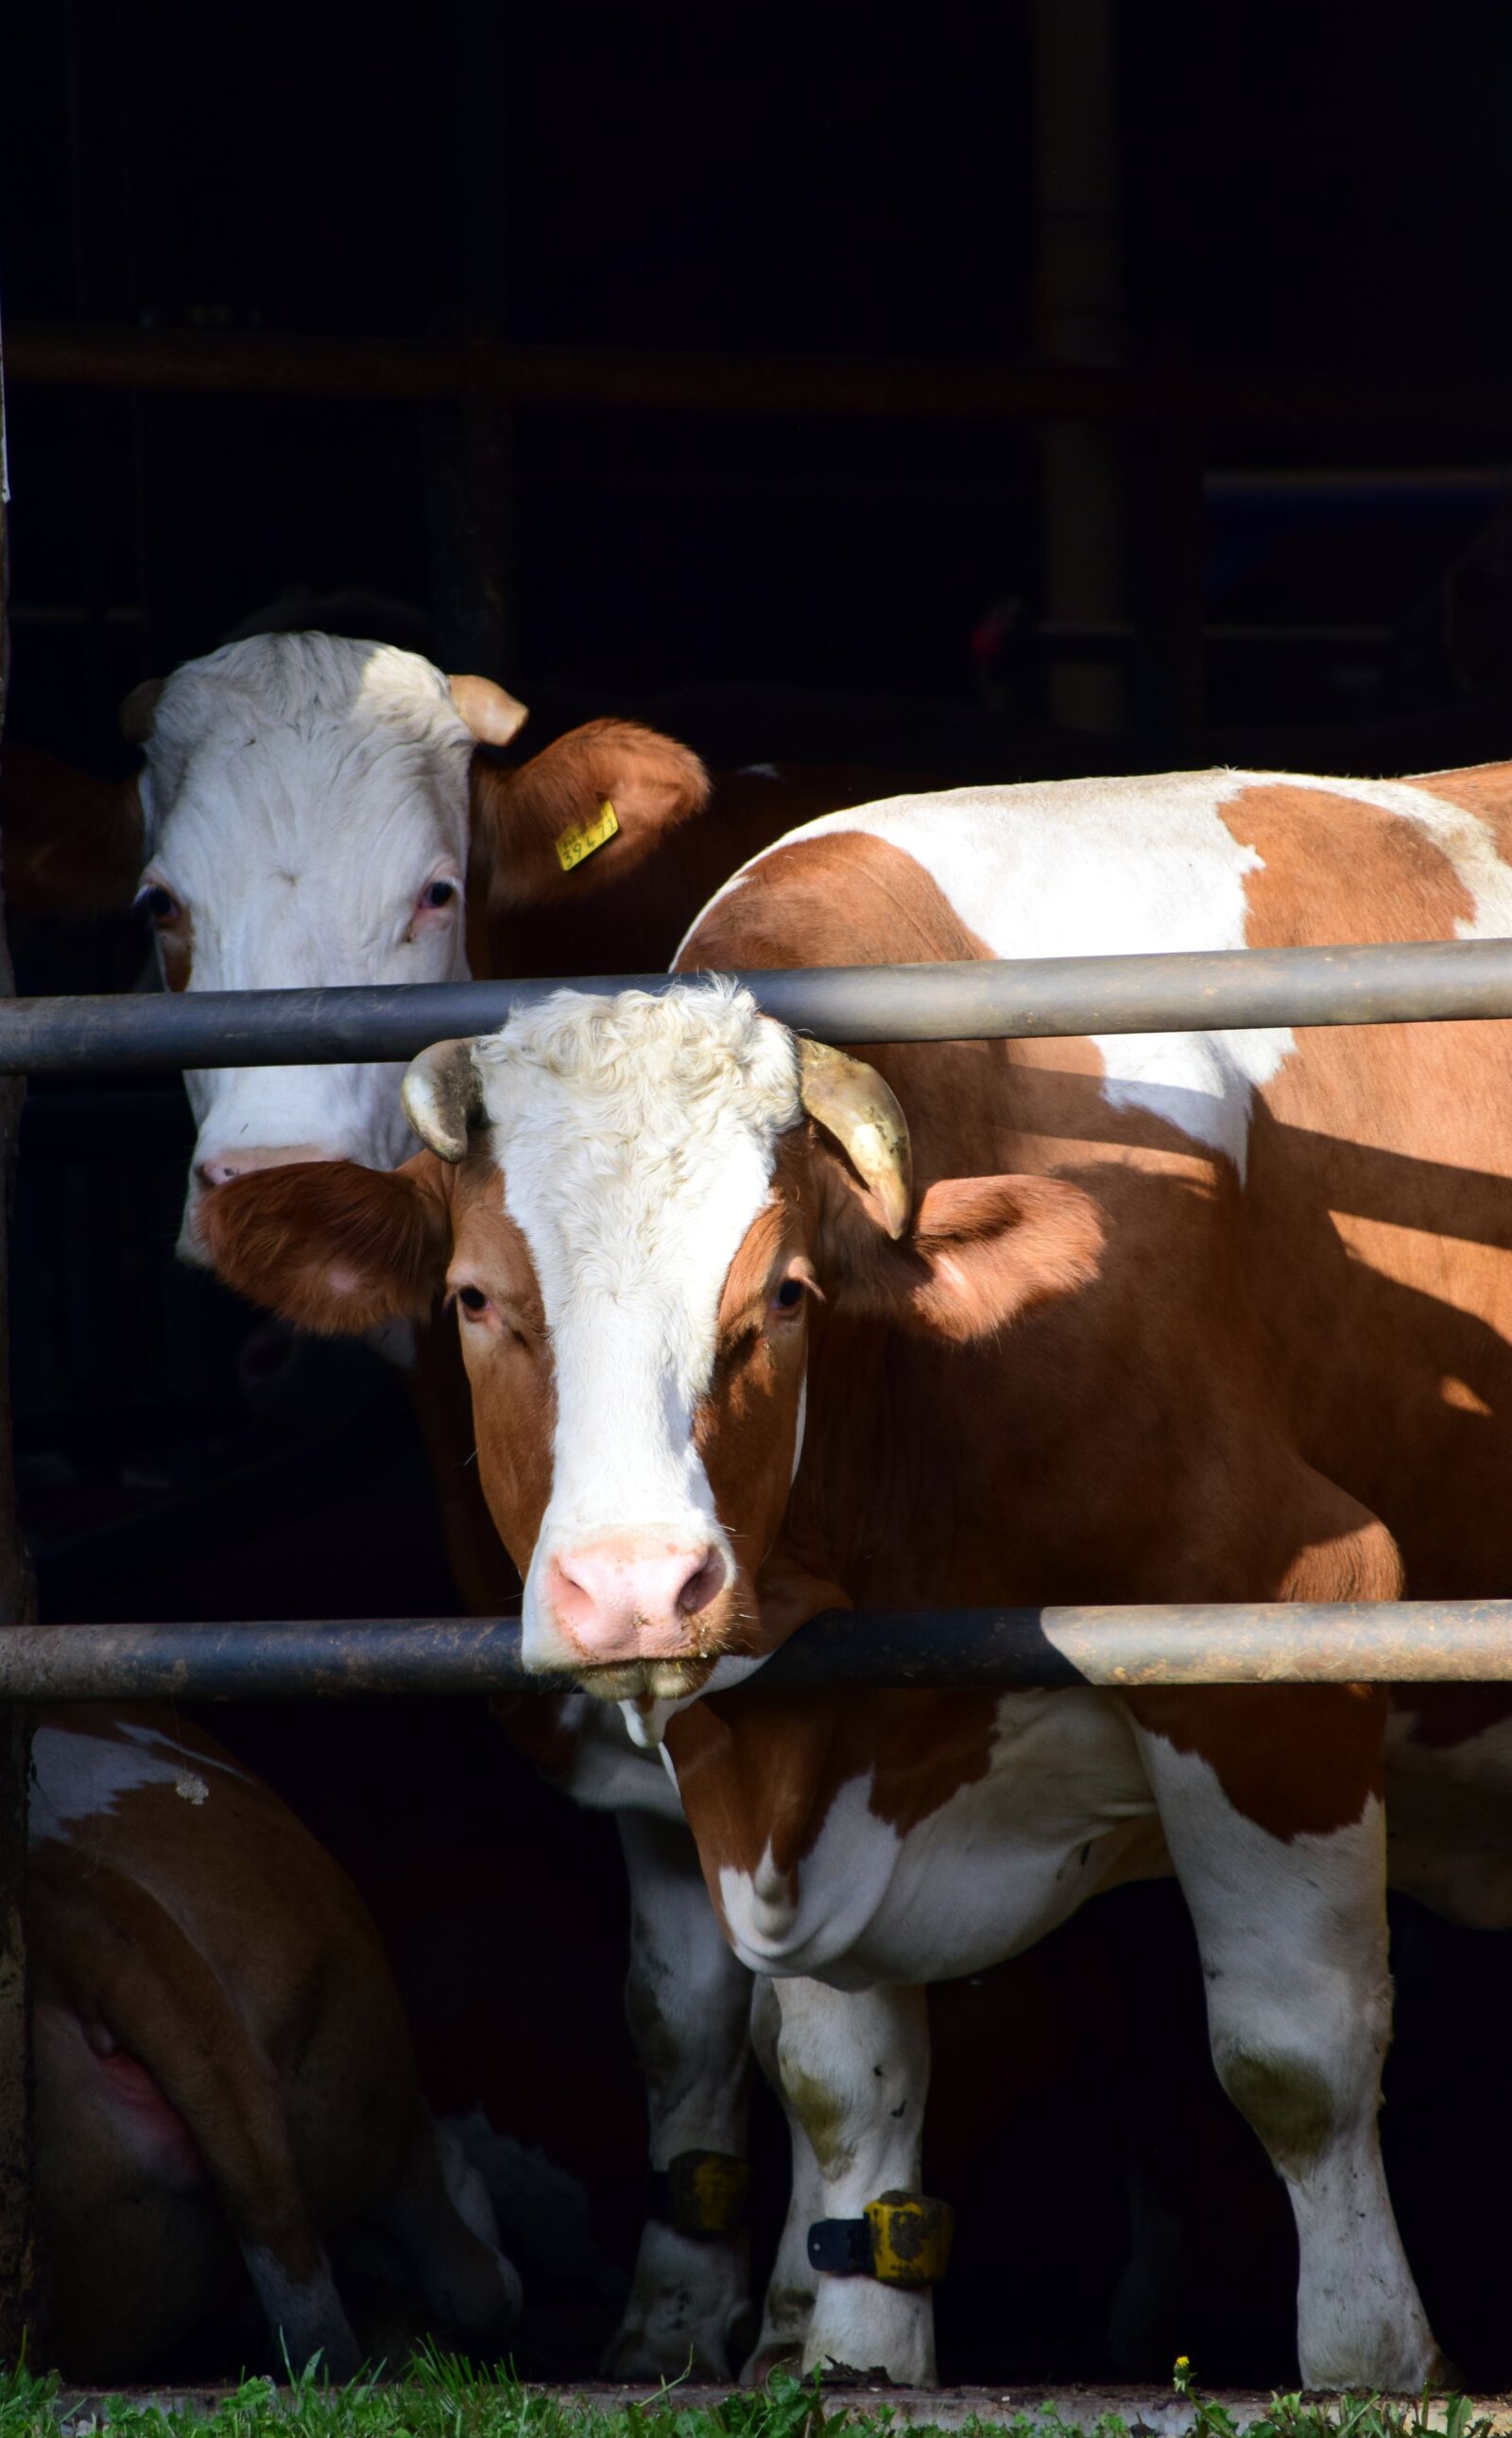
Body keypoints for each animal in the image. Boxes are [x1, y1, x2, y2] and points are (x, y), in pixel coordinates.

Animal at [200, 757, 1512, 2391]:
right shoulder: (782, 1751)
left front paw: (1372, 2368)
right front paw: (859, 2360)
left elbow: (1296, 2060)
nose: (637, 1590)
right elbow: (839, 2087)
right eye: (475, 1299)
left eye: (783, 1295)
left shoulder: (1283, 1624)